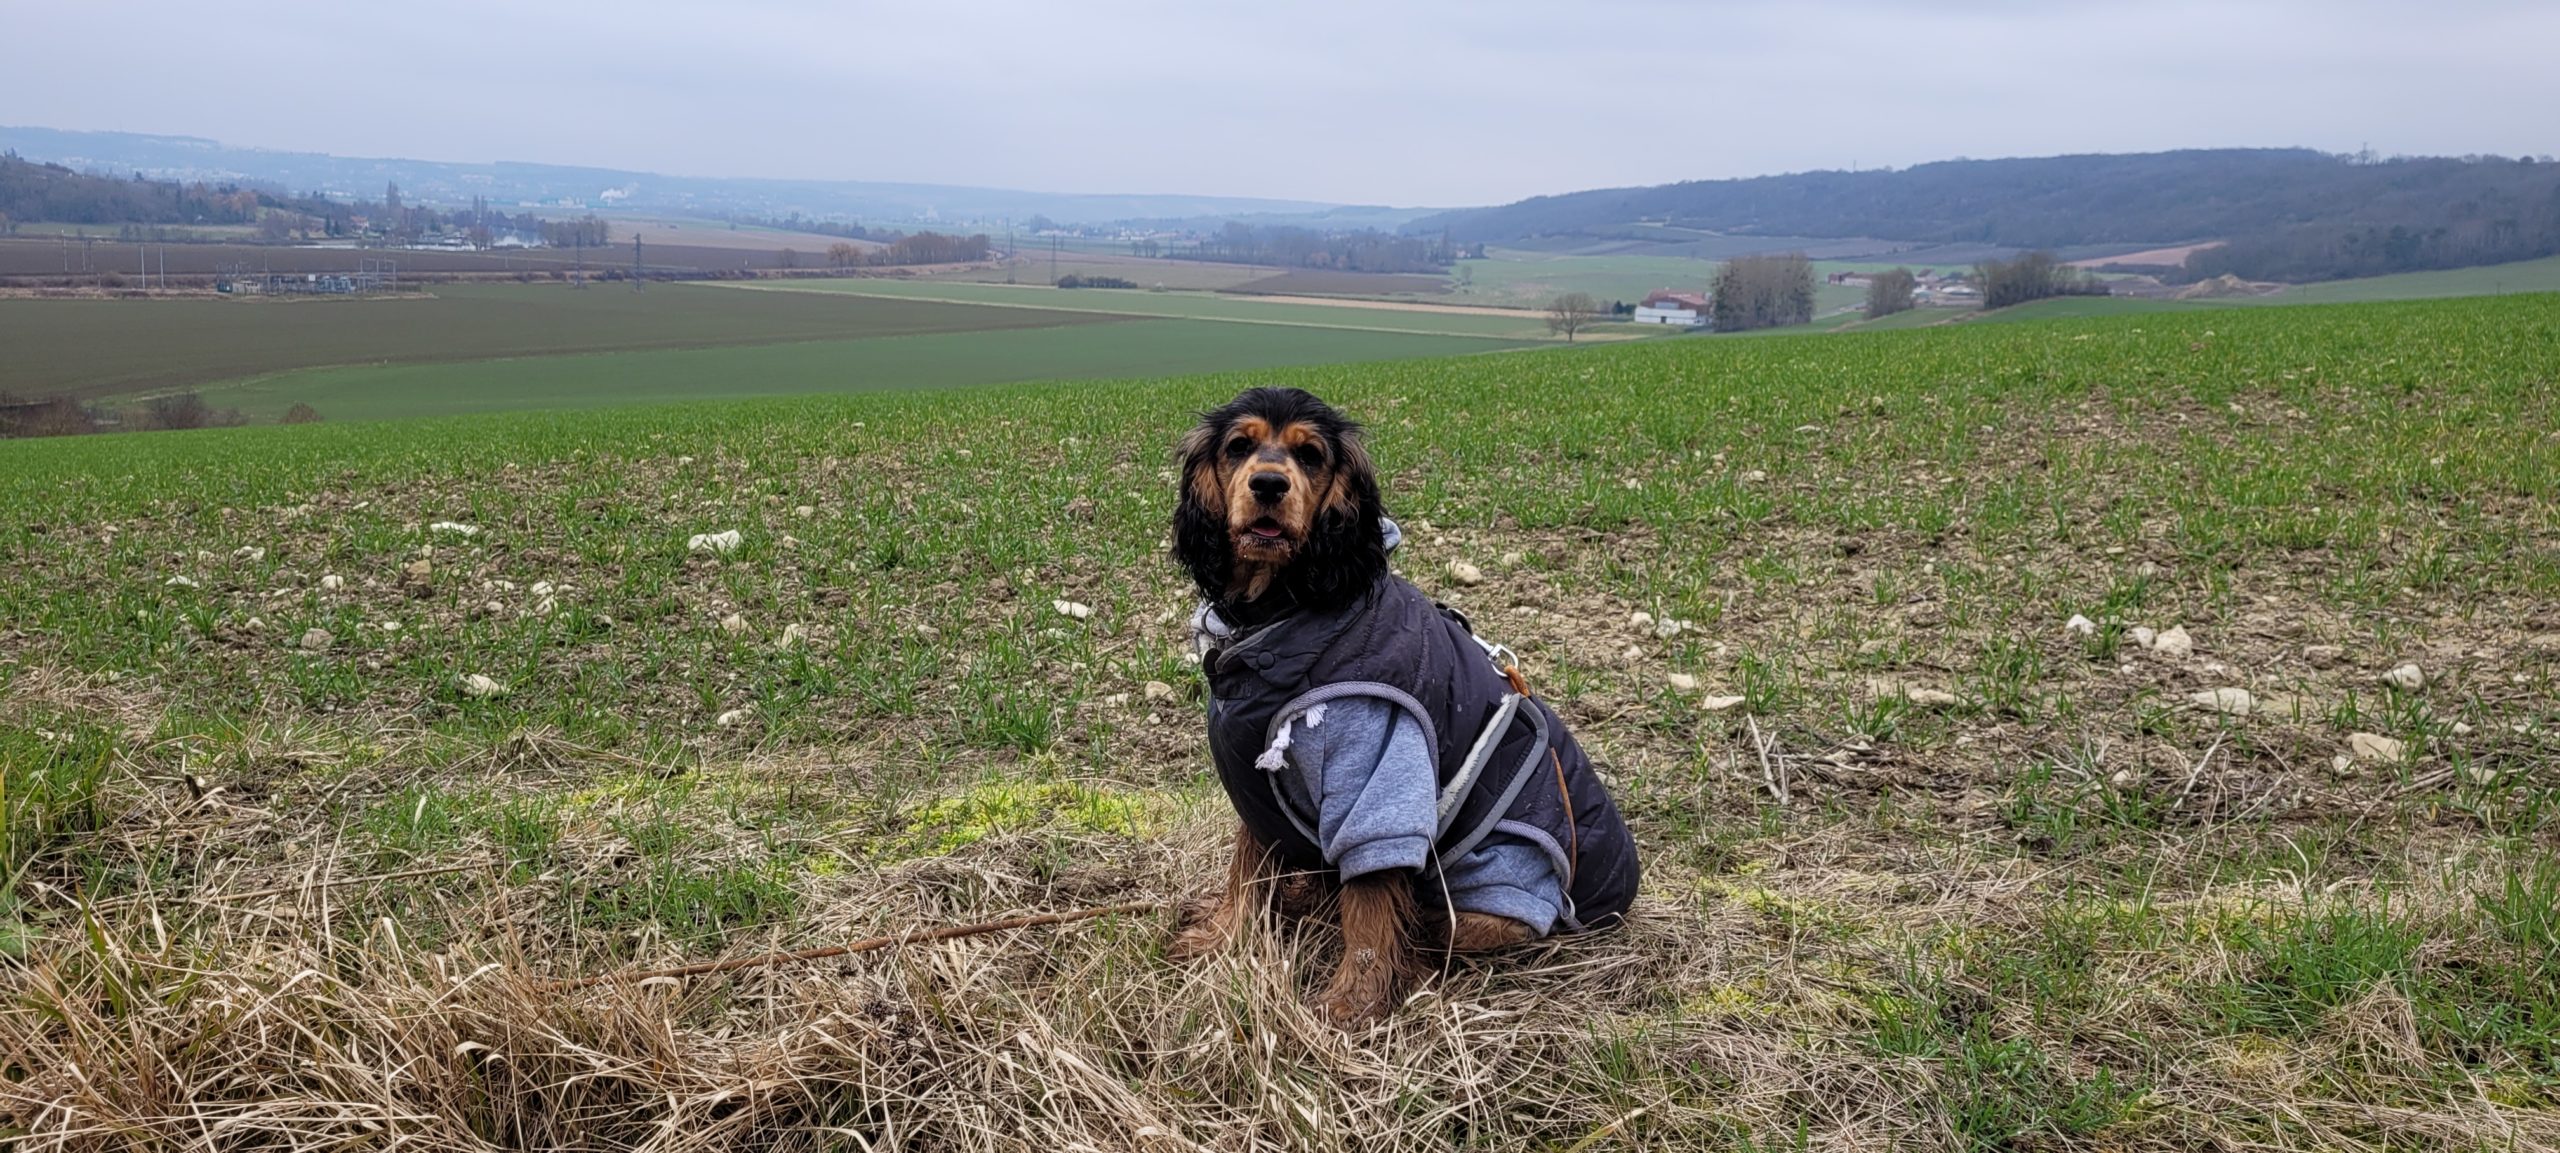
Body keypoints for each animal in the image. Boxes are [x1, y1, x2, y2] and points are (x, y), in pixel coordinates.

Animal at [1167, 386, 1638, 1024]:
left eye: (1310, 455)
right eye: (1239, 446)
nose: (1267, 484)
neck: (1283, 610)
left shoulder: (1381, 769)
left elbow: (1370, 901)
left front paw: (1350, 1005)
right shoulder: (1256, 785)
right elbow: (1247, 870)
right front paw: (1220, 940)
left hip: (1494, 893)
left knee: (1433, 925)